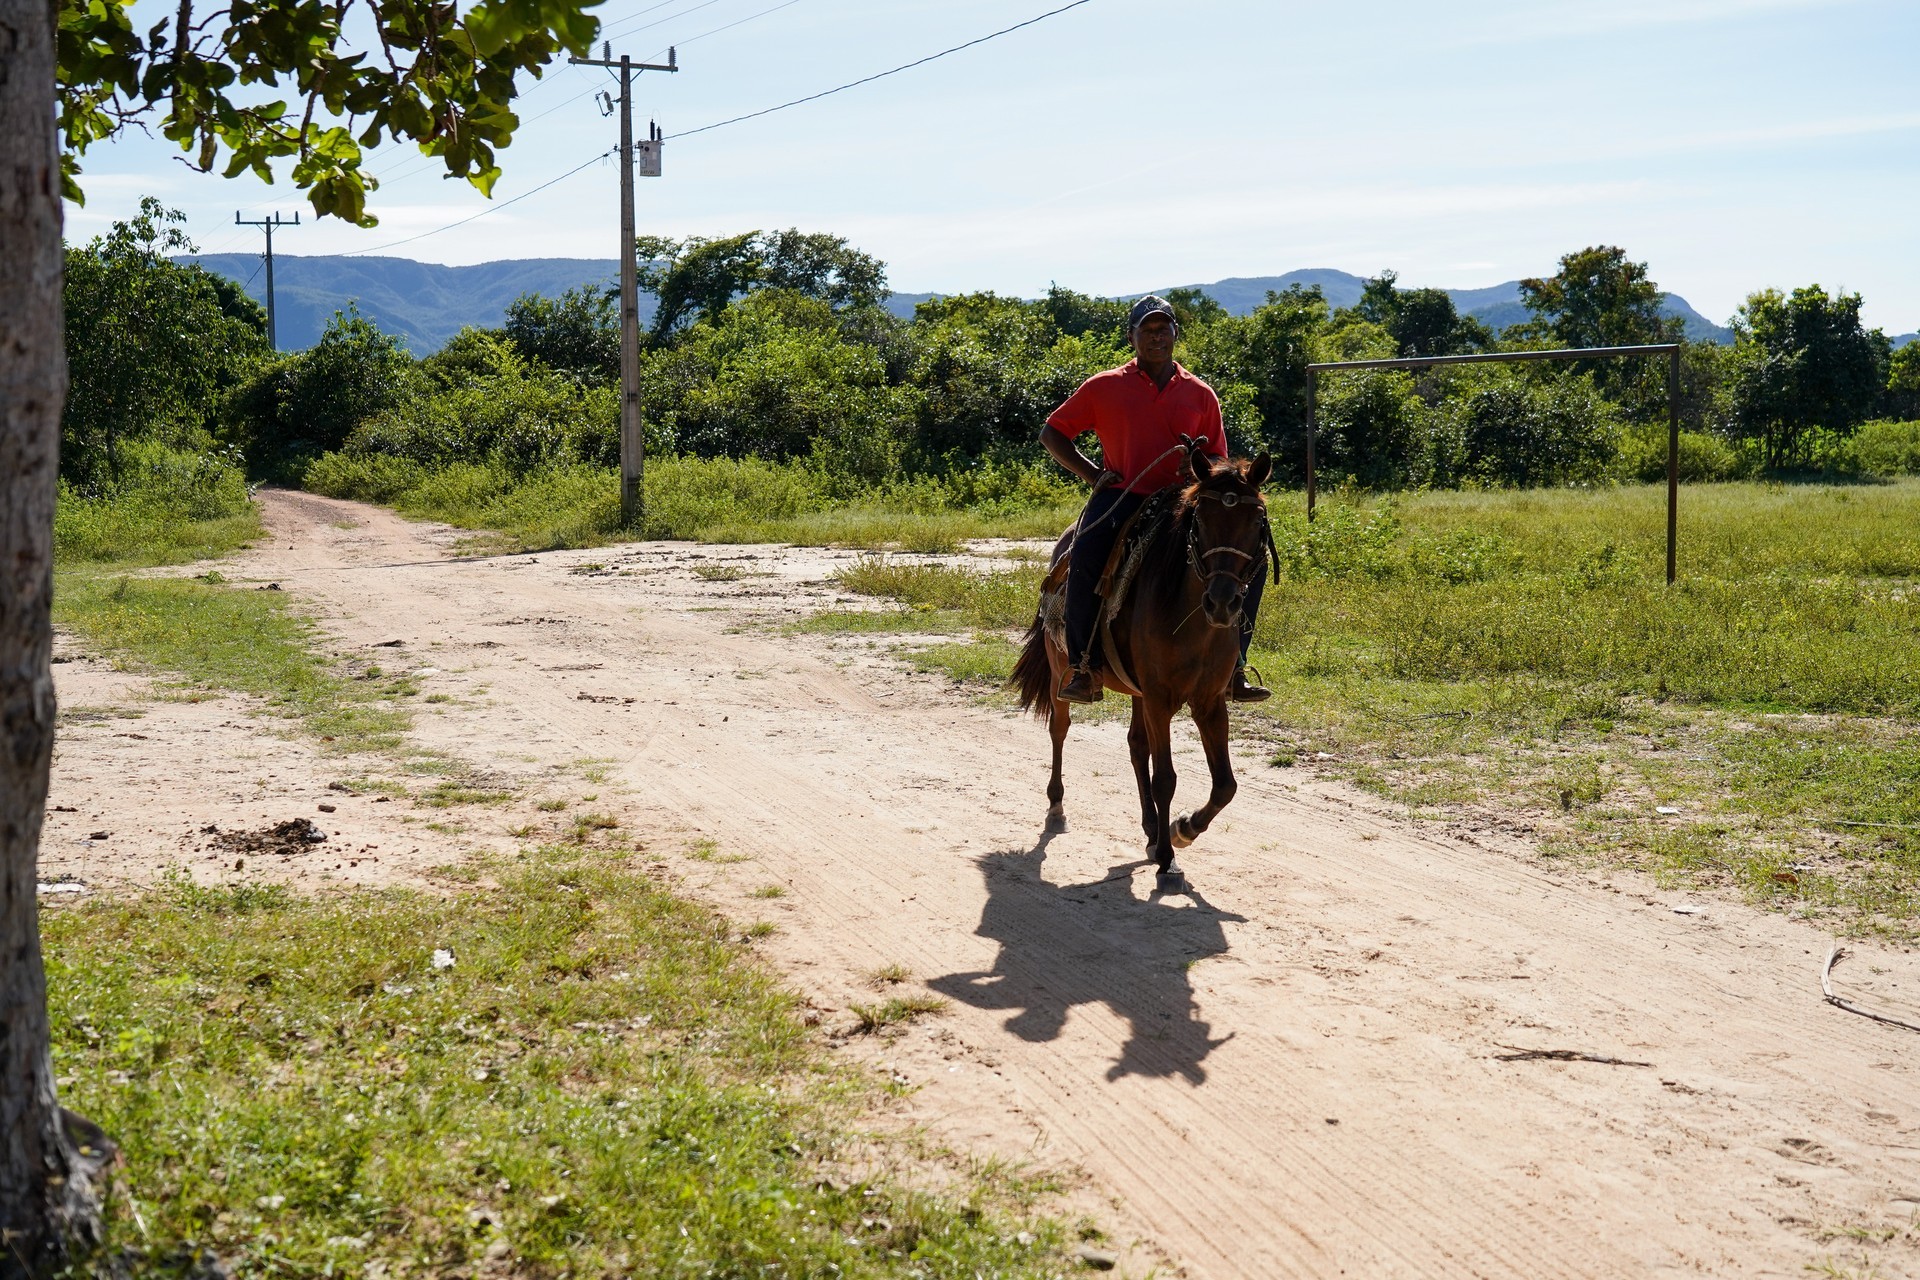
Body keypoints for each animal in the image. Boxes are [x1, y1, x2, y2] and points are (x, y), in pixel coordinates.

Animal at [1006, 443, 1274, 882]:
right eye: (1200, 520)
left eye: (1257, 521)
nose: (1222, 602)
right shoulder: (1161, 699)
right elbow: (1165, 778)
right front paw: (1168, 853)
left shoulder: (1208, 701)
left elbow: (1225, 785)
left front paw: (1182, 829)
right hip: (1064, 671)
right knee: (1060, 729)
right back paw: (1057, 805)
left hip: (1138, 691)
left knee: (1136, 746)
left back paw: (1150, 828)